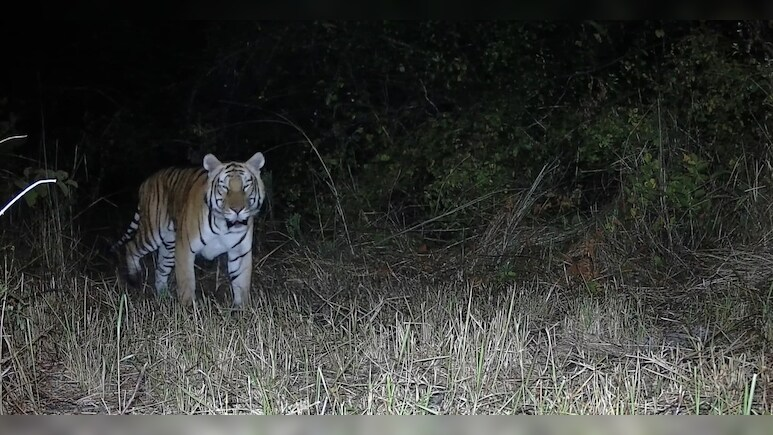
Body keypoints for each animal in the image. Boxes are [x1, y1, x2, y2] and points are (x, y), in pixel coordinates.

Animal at [110, 152, 267, 307]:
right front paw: (189, 309)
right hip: (153, 233)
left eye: (246, 186)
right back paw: (134, 277)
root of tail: (147, 181)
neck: (225, 225)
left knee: (160, 270)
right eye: (224, 187)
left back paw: (164, 297)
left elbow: (242, 284)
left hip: (169, 246)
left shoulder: (240, 252)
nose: (237, 210)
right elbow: (187, 282)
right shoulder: (185, 248)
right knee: (131, 246)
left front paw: (243, 309)